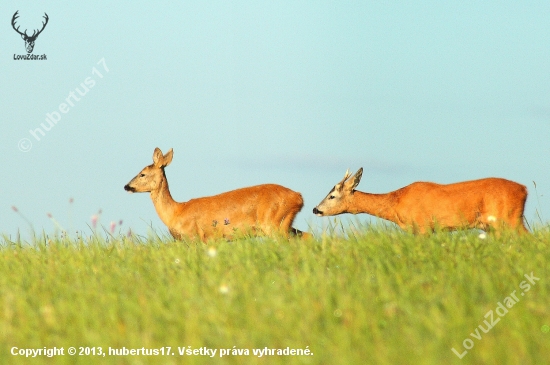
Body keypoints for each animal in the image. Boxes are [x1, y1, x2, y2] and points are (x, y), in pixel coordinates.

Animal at [124, 146, 310, 240]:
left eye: (142, 174)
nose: (126, 186)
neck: (176, 212)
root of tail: (298, 197)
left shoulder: (195, 236)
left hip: (273, 222)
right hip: (284, 221)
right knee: (307, 236)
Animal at [312, 168, 528, 233]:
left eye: (332, 196)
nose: (315, 209)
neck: (396, 202)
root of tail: (524, 190)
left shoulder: (423, 226)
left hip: (508, 219)